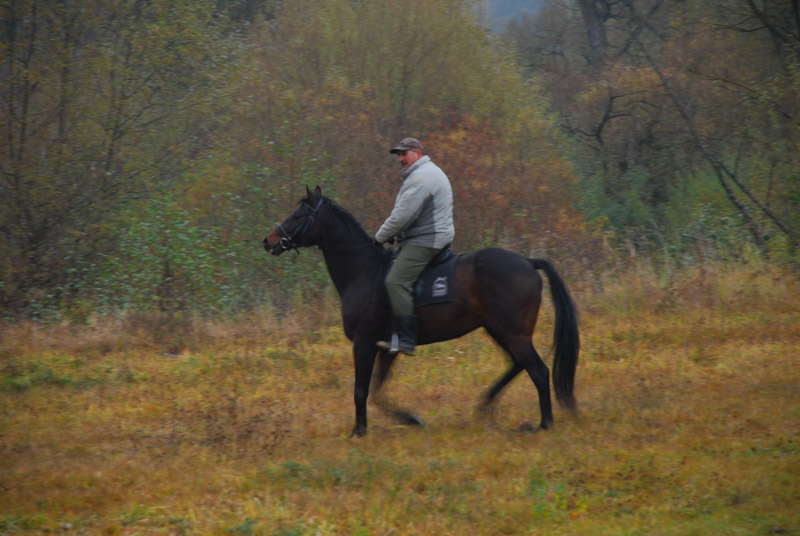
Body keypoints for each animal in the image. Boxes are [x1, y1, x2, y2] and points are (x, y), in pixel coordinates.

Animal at [266, 186, 580, 438]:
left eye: (298, 214)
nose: (268, 241)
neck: (364, 270)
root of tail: (528, 262)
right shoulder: (387, 347)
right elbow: (377, 392)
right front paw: (410, 419)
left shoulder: (364, 342)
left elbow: (361, 390)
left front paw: (359, 431)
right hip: (499, 330)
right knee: (518, 365)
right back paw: (485, 404)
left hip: (512, 333)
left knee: (538, 370)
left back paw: (543, 424)